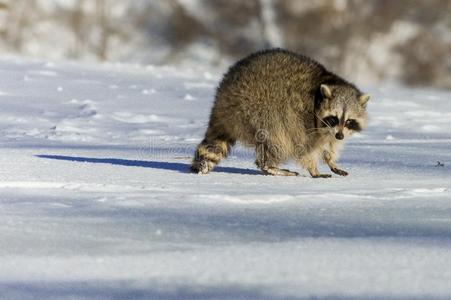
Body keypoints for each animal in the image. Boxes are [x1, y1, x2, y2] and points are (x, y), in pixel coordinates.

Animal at [191, 48, 370, 177]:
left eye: (349, 121)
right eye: (333, 118)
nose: (340, 135)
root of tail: (223, 97)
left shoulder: (330, 132)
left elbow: (329, 145)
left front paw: (331, 160)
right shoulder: (304, 122)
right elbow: (305, 149)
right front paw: (314, 169)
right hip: (257, 110)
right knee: (277, 138)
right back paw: (269, 166)